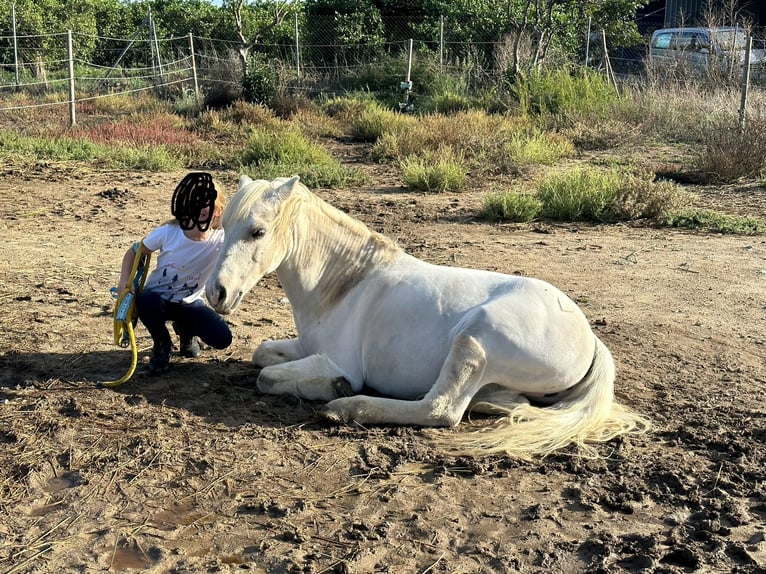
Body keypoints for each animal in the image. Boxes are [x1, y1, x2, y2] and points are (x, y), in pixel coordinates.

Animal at [207, 176, 652, 460]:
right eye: (224, 224)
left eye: (258, 232)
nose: (217, 293)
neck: (345, 284)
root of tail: (591, 339)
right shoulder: (304, 347)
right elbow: (262, 355)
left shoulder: (336, 361)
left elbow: (267, 377)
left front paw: (334, 388)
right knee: (509, 404)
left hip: (474, 341)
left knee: (440, 409)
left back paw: (347, 408)